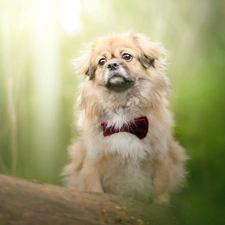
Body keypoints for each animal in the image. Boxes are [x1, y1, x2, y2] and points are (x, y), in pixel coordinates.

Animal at [63, 31, 188, 206]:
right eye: (102, 62)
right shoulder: (92, 164)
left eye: (127, 56)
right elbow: (96, 190)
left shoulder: (161, 159)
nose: (112, 65)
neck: (122, 108)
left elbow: (160, 193)